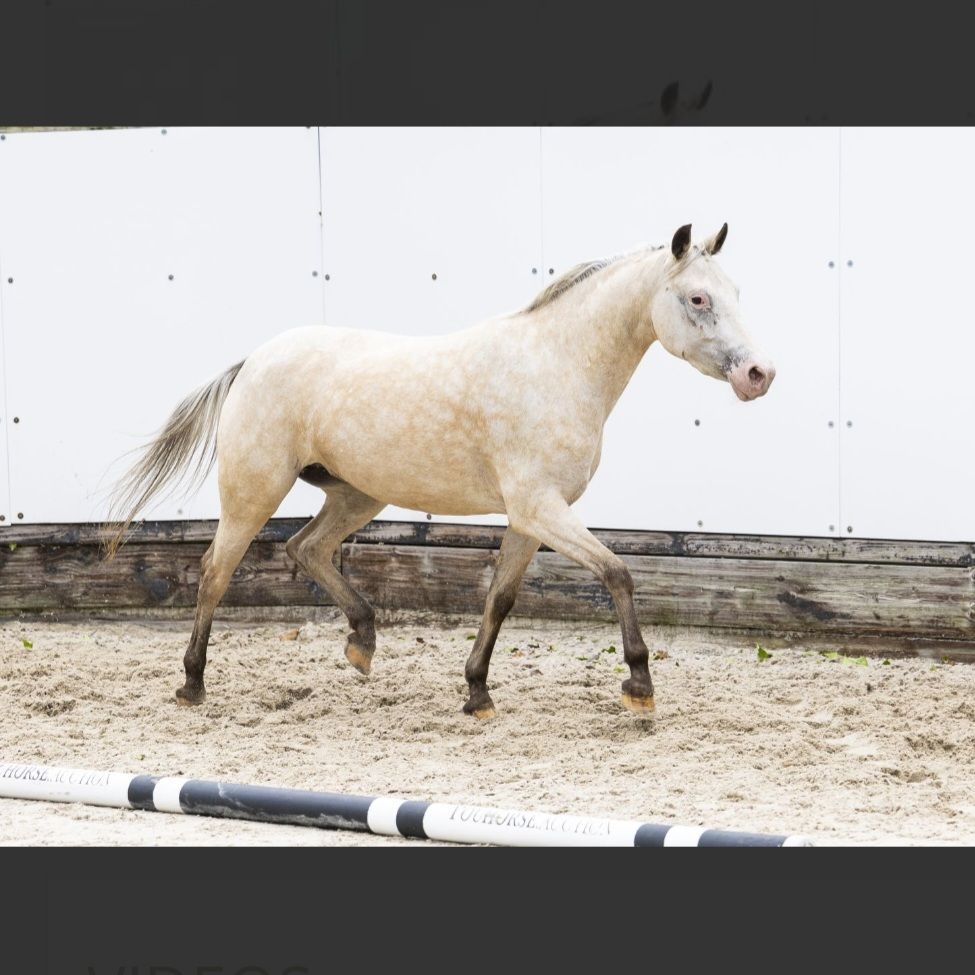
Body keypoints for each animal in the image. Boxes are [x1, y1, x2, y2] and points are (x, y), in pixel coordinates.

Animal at [105, 223, 775, 719]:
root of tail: (253, 361)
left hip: (357, 496)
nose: (759, 375)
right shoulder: (541, 508)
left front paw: (477, 692)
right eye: (697, 298)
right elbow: (618, 573)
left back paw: (362, 644)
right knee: (216, 573)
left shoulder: (529, 518)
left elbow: (501, 599)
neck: (556, 367)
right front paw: (639, 686)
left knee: (306, 548)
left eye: (738, 292)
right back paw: (192, 685)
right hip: (254, 492)